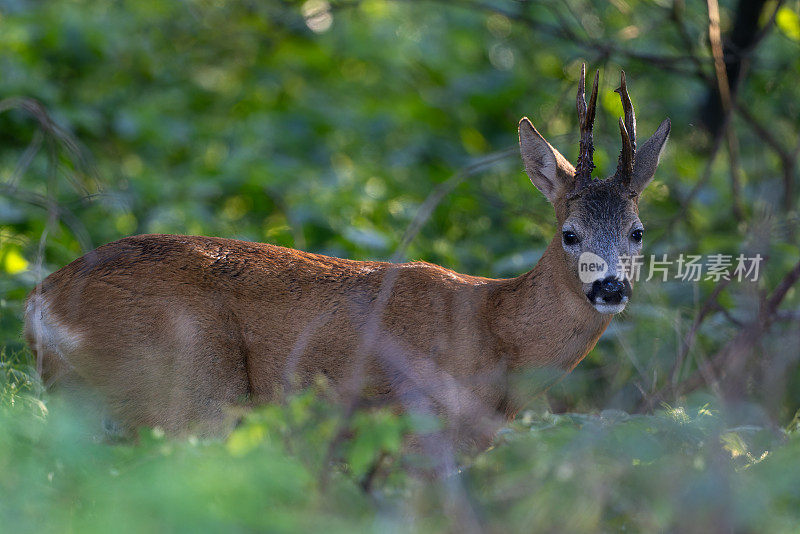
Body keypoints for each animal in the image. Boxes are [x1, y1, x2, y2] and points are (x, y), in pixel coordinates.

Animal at [25, 67, 668, 450]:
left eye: (638, 232)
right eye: (570, 234)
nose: (610, 287)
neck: (495, 330)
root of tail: (41, 302)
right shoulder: (413, 427)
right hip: (182, 391)